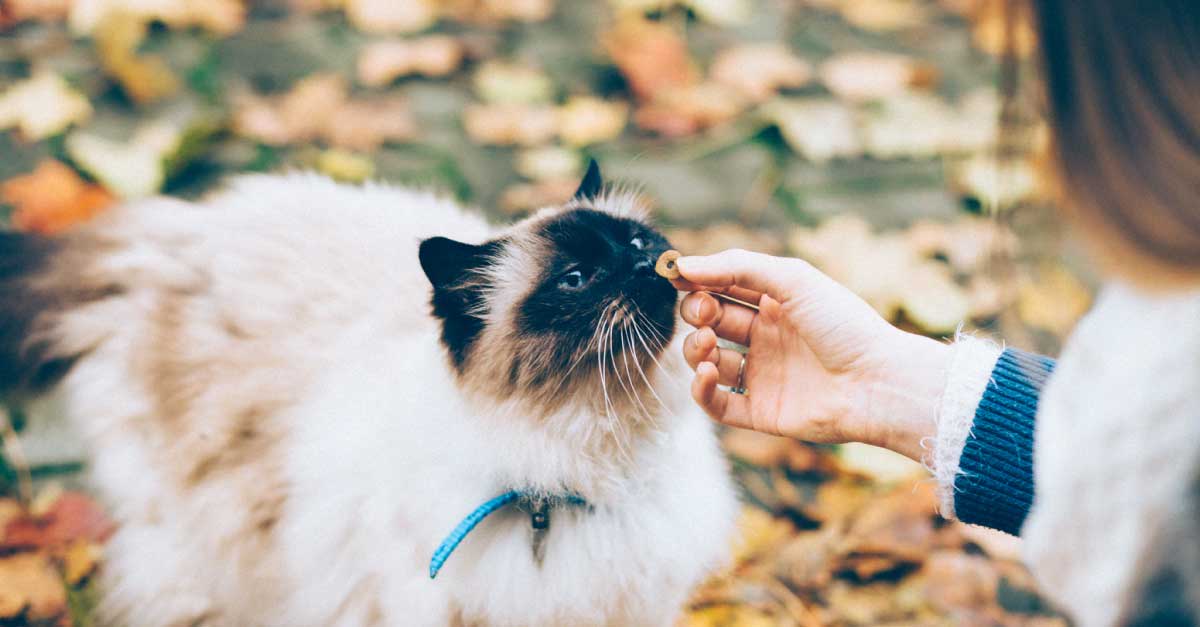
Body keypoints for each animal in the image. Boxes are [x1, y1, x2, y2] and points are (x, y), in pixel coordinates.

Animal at [0, 162, 739, 624]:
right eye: (578, 280)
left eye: (638, 241)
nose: (646, 266)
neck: (589, 471)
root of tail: (172, 233)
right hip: (208, 540)